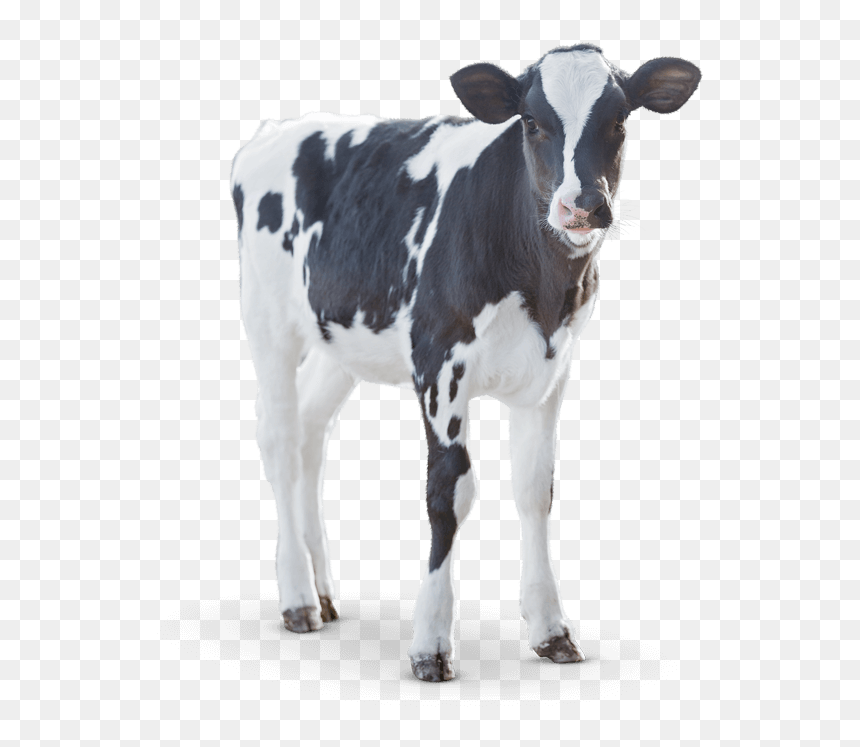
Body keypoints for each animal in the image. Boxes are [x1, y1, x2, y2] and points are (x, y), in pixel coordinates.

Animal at [230, 44, 701, 681]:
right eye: (532, 122)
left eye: (620, 121)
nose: (582, 206)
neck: (542, 286)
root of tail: (273, 130)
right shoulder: (438, 362)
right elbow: (447, 492)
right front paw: (430, 643)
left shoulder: (552, 369)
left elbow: (535, 490)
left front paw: (551, 630)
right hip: (269, 321)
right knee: (279, 442)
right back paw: (298, 598)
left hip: (343, 342)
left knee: (308, 435)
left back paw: (325, 593)